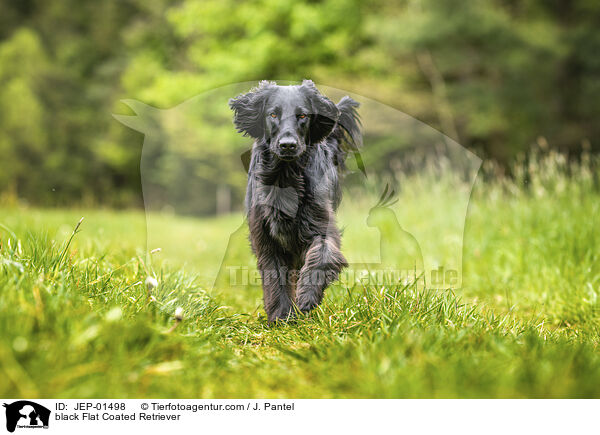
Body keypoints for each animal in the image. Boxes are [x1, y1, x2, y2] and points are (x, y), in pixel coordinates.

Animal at [230, 80, 360, 322]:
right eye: (273, 114)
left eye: (302, 116)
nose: (287, 145)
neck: (285, 176)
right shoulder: (266, 239)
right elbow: (275, 278)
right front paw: (281, 317)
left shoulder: (319, 224)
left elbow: (322, 255)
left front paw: (307, 297)